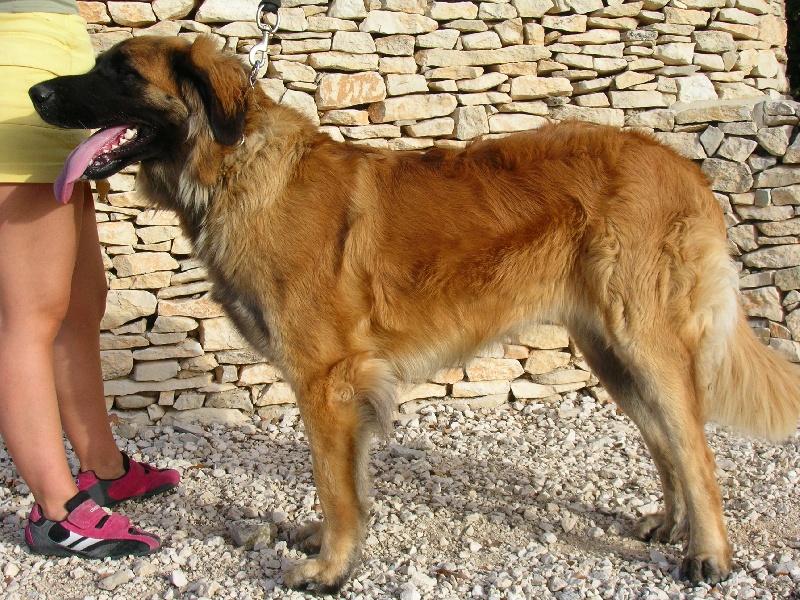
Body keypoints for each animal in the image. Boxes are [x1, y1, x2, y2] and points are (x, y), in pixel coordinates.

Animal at [30, 35, 800, 592]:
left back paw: (709, 556)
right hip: (613, 354)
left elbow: (334, 484)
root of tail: (684, 165)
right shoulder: (349, 388)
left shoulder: (327, 379)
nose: (35, 90)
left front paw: (330, 569)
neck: (234, 166)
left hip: (644, 341)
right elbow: (350, 481)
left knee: (696, 448)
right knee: (666, 442)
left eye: (119, 71)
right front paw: (330, 546)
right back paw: (671, 525)